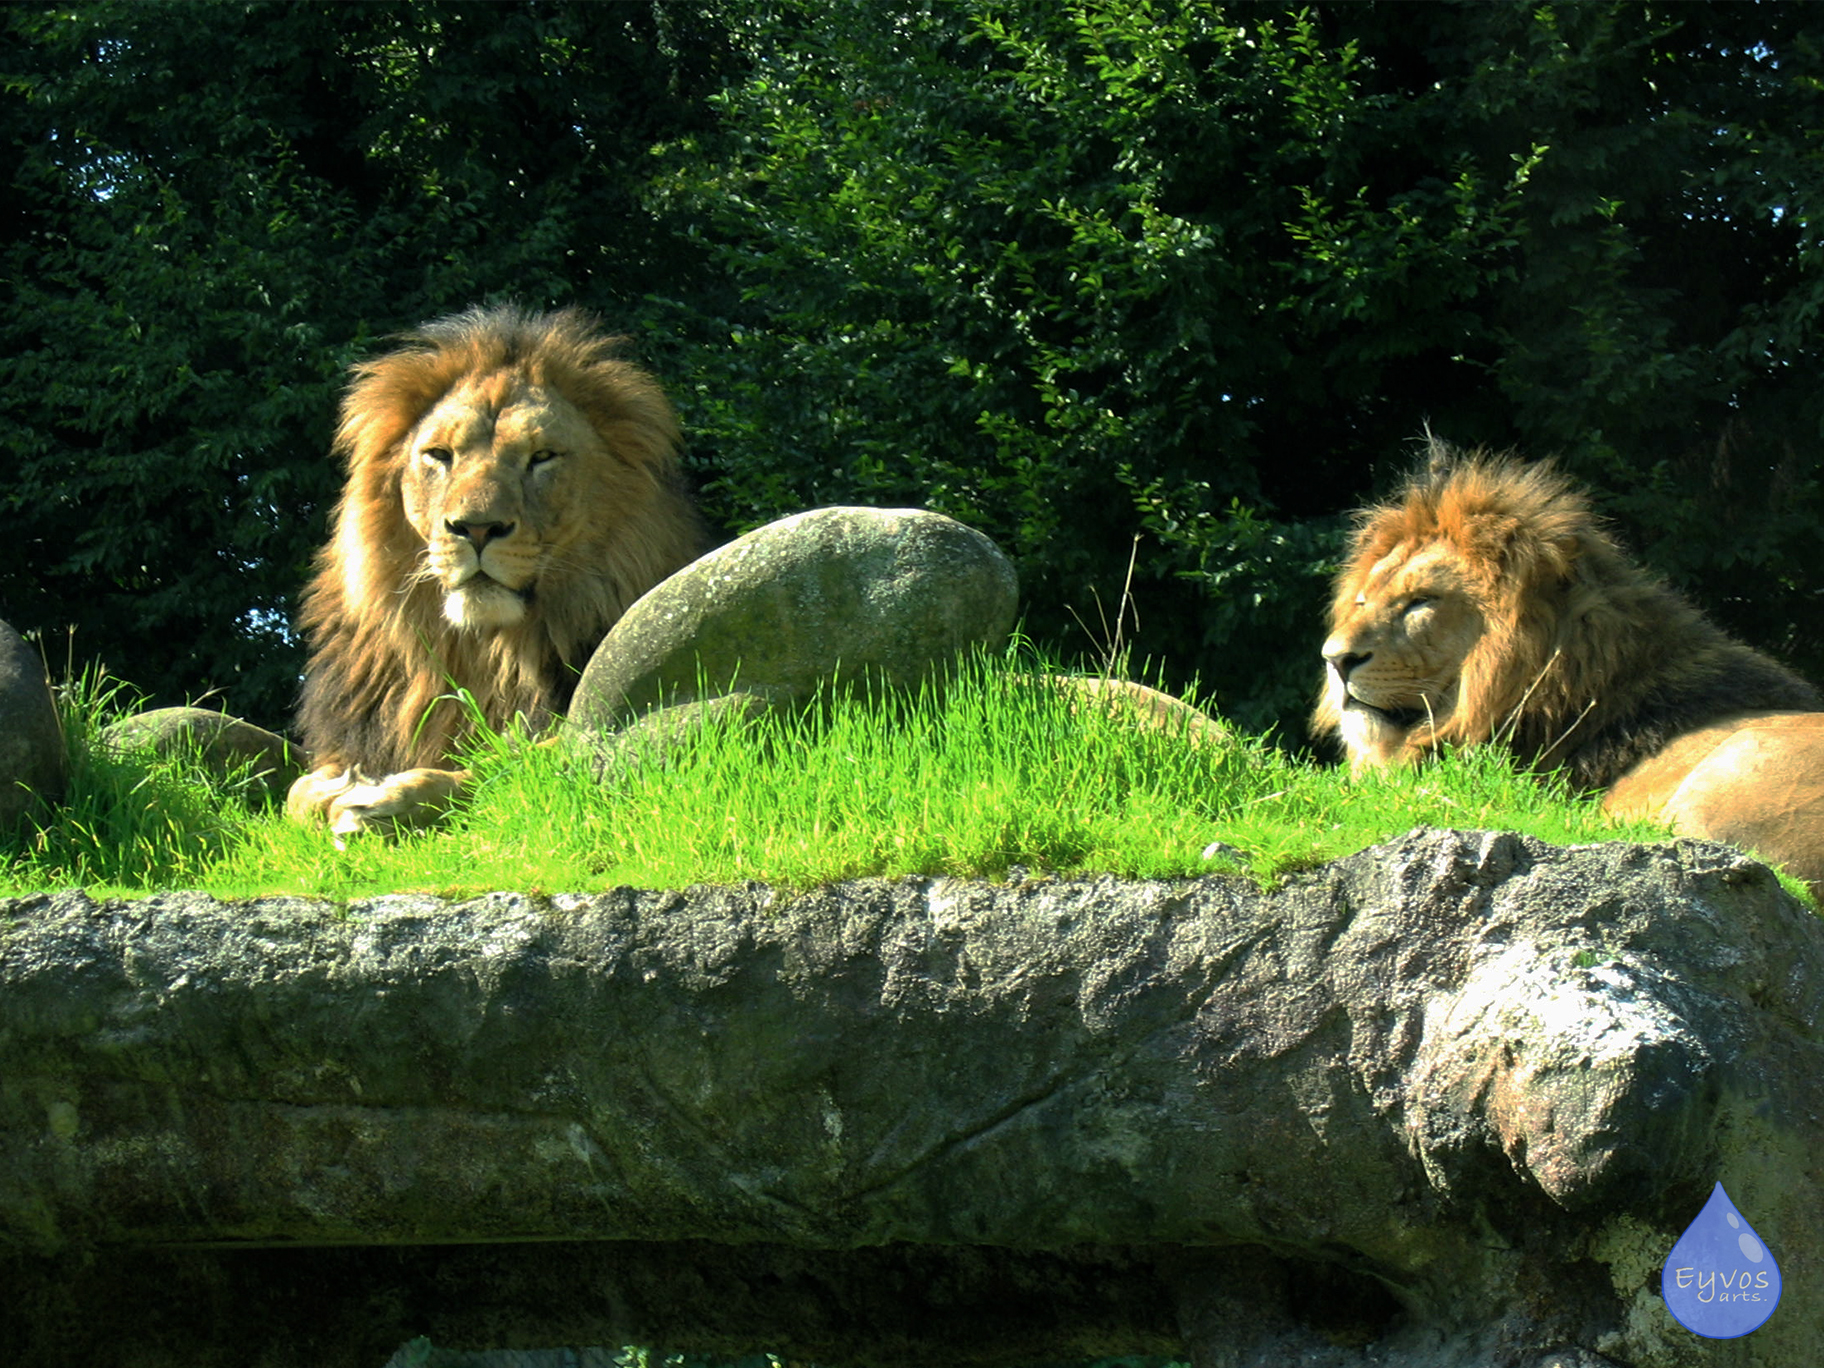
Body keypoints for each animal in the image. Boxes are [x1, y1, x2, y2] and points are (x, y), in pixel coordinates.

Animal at [287, 304, 706, 838]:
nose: (477, 528)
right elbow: (295, 795)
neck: (483, 654)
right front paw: (333, 786)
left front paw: (390, 798)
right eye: (439, 455)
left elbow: (506, 764)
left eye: (541, 457)